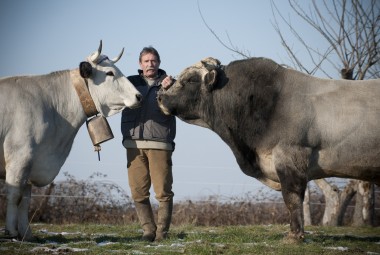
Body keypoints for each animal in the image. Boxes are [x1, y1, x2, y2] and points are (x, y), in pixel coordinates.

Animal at [0, 40, 142, 240]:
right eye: (109, 73)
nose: (139, 96)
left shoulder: (33, 161)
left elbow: (26, 199)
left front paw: (26, 234)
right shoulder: (19, 155)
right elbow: (15, 195)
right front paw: (12, 232)